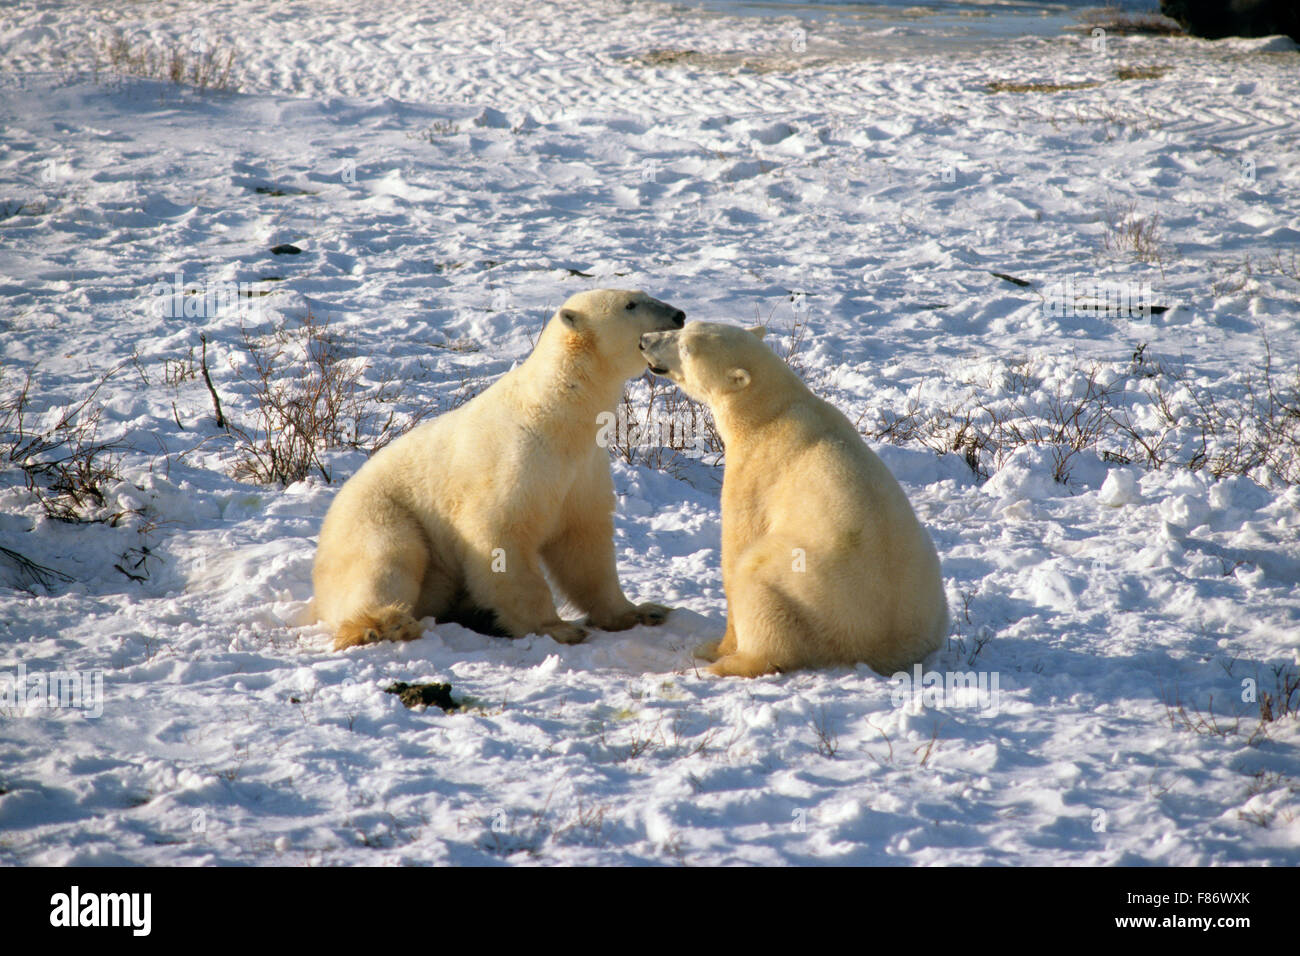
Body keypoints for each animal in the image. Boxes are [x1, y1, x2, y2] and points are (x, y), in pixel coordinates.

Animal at [313, 287, 686, 655]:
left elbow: (584, 546)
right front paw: (557, 628)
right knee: (386, 558)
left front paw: (642, 611)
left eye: (645, 294)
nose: (679, 315)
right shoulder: (517, 461)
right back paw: (385, 624)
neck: (556, 416)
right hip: (379, 514)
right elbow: (501, 538)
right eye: (631, 304)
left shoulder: (583, 473)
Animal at [637, 323, 946, 681]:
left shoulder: (755, 470)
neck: (770, 412)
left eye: (686, 348)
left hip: (805, 590)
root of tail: (878, 648)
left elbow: (737, 545)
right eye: (684, 327)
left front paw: (717, 645)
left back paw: (719, 662)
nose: (644, 340)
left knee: (759, 585)